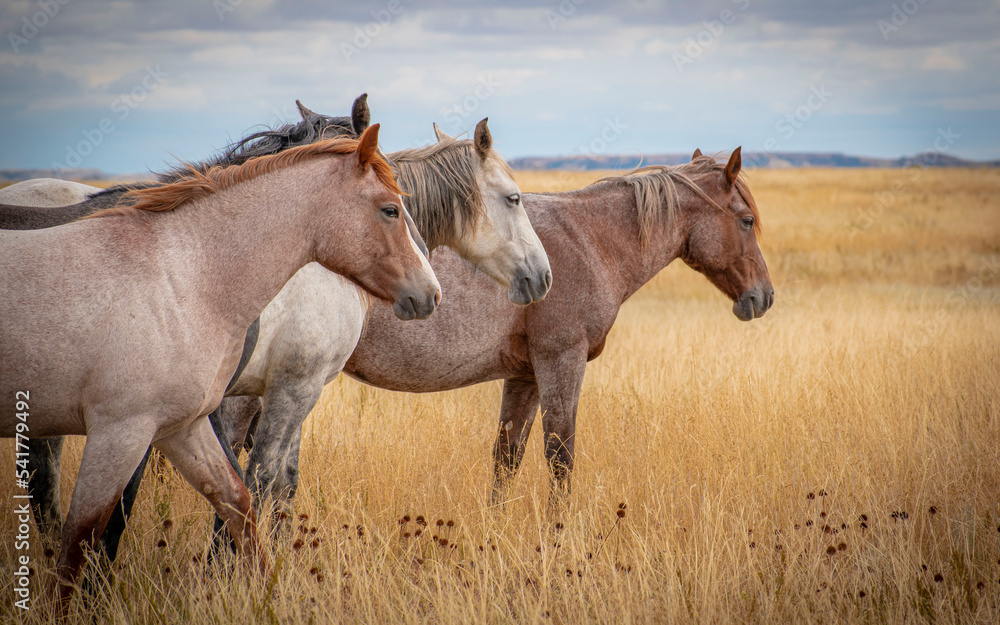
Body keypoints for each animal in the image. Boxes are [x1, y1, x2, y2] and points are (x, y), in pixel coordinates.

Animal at [0, 126, 441, 602]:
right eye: (390, 209)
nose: (431, 292)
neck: (185, 280)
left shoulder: (184, 424)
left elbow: (239, 499)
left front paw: (266, 596)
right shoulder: (124, 429)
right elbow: (85, 534)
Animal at [342, 147, 774, 502]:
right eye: (747, 220)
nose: (764, 296)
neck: (589, 240)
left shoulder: (525, 376)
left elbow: (506, 460)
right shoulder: (561, 361)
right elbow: (560, 458)